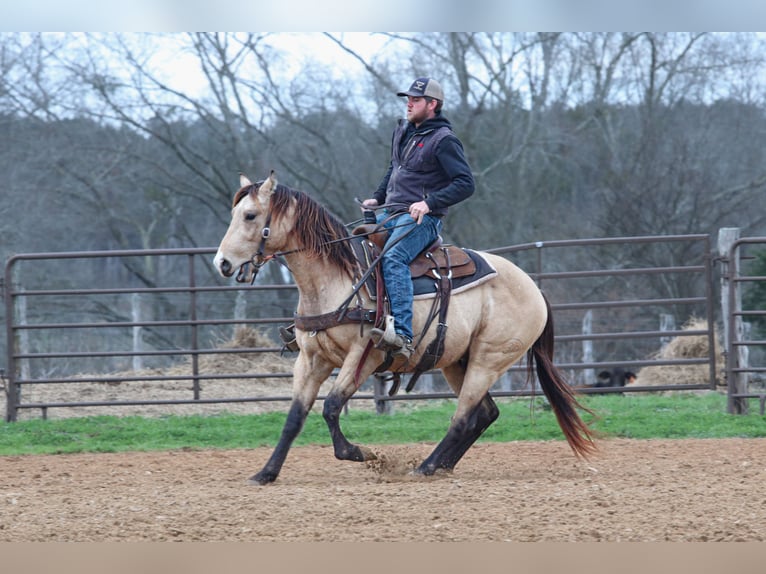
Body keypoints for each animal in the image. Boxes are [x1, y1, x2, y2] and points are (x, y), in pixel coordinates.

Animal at [213, 172, 596, 486]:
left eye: (250, 215)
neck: (335, 279)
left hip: (489, 359)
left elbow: (332, 406)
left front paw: (361, 453)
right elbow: (295, 416)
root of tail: (534, 288)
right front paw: (266, 473)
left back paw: (425, 467)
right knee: (484, 414)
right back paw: (440, 466)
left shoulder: (364, 355)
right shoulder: (311, 359)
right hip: (456, 361)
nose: (223, 263)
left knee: (463, 416)